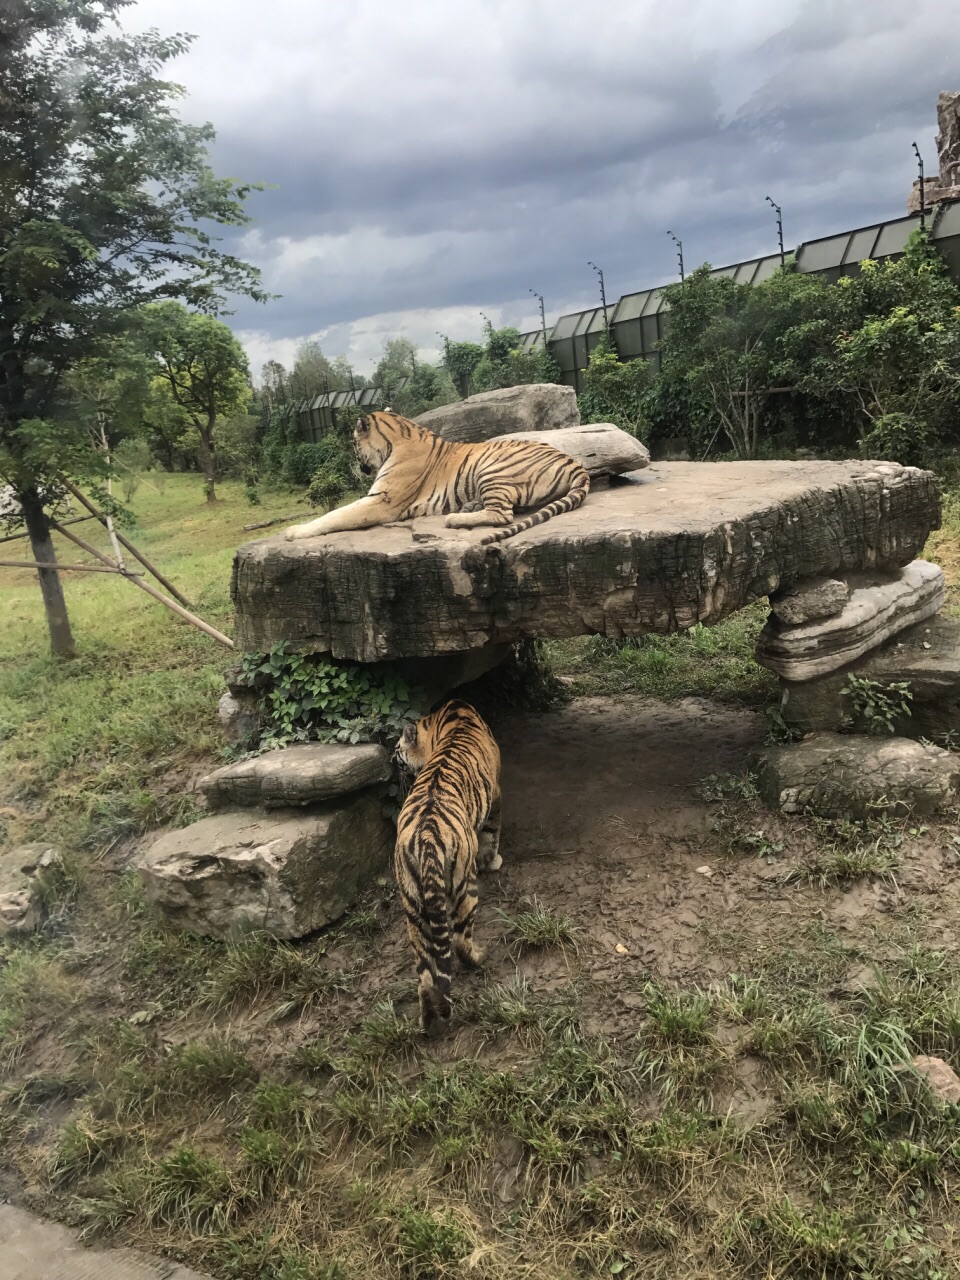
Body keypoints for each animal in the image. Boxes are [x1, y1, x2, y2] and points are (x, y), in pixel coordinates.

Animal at [281, 409, 591, 545]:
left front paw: (294, 531)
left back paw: (455, 518)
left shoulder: (381, 501)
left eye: (354, 443)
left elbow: (335, 515)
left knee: (503, 514)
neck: (397, 435)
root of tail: (575, 464)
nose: (356, 467)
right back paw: (468, 507)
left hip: (491, 467)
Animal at [391, 696, 504, 1034]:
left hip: (413, 909)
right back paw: (480, 957)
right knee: (459, 941)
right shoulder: (495, 796)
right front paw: (493, 861)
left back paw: (429, 1022)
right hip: (465, 890)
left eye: (397, 751)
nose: (391, 763)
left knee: (427, 975)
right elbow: (492, 834)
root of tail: (427, 840)